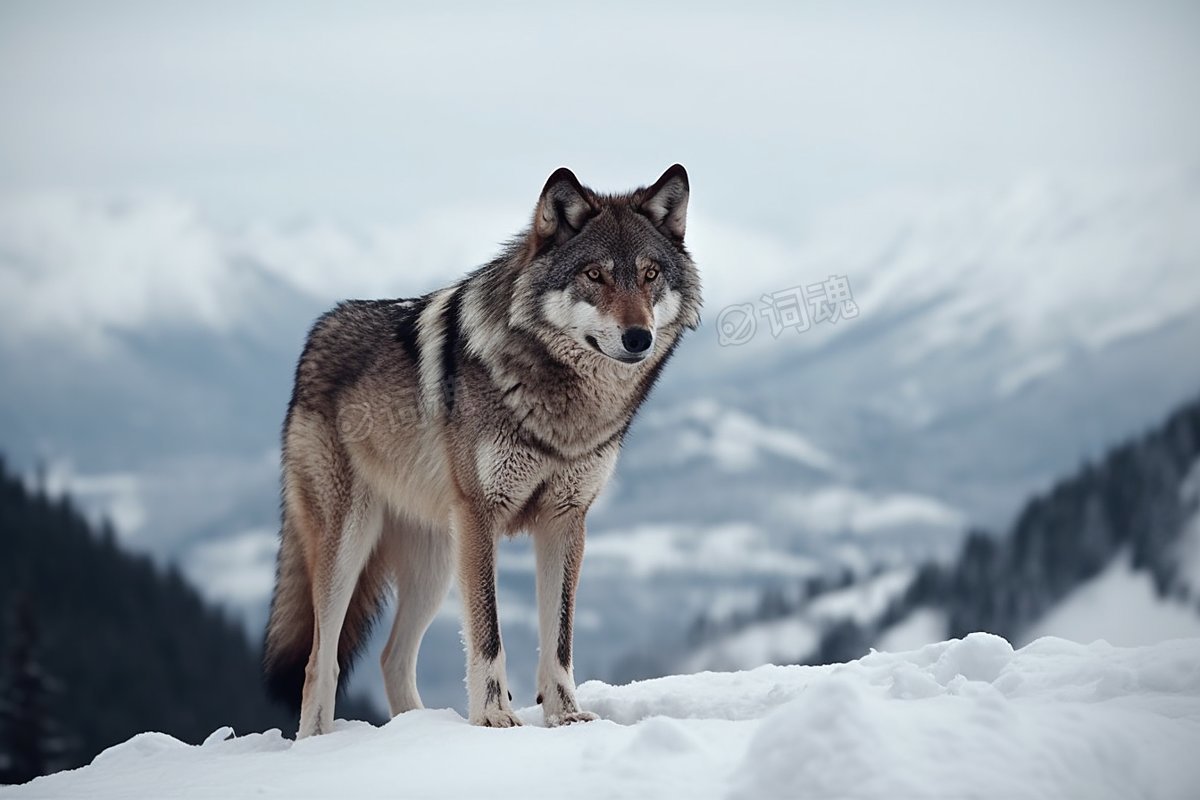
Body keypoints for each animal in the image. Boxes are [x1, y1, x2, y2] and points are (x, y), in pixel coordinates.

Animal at [258, 164, 700, 738]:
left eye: (650, 275)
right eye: (595, 275)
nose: (638, 337)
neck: (564, 411)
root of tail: (317, 333)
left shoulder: (566, 519)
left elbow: (559, 639)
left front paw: (566, 716)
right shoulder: (481, 515)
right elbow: (489, 634)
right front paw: (493, 717)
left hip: (438, 564)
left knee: (392, 657)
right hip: (352, 543)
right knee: (321, 661)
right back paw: (318, 742)